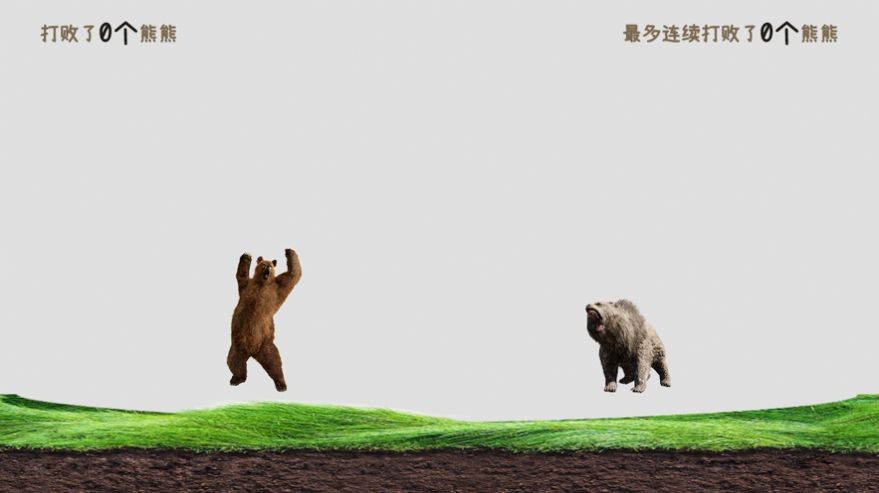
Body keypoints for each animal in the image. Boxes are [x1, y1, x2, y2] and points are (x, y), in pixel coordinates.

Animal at [228, 248, 301, 392]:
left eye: (271, 266)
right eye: (263, 264)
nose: (267, 267)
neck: (262, 283)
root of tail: (252, 352)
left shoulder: (277, 287)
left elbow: (293, 274)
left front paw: (289, 251)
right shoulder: (247, 286)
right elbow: (241, 275)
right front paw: (247, 256)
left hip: (266, 344)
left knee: (275, 363)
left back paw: (281, 384)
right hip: (238, 345)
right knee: (235, 361)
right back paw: (236, 379)